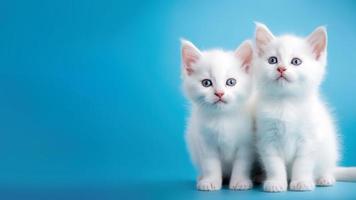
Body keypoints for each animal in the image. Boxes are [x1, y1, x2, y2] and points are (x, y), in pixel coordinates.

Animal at [182, 39, 254, 191]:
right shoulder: (205, 141)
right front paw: (210, 181)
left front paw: (240, 181)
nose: (219, 93)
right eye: (206, 83)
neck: (223, 118)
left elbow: (242, 163)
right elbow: (210, 164)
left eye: (231, 82)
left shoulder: (247, 143)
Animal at [253, 22, 356, 192]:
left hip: (329, 151)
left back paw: (325, 178)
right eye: (272, 60)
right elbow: (274, 164)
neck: (286, 103)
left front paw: (301, 182)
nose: (281, 68)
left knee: (327, 168)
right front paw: (276, 182)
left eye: (296, 61)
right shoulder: (267, 139)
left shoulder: (309, 140)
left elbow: (302, 163)